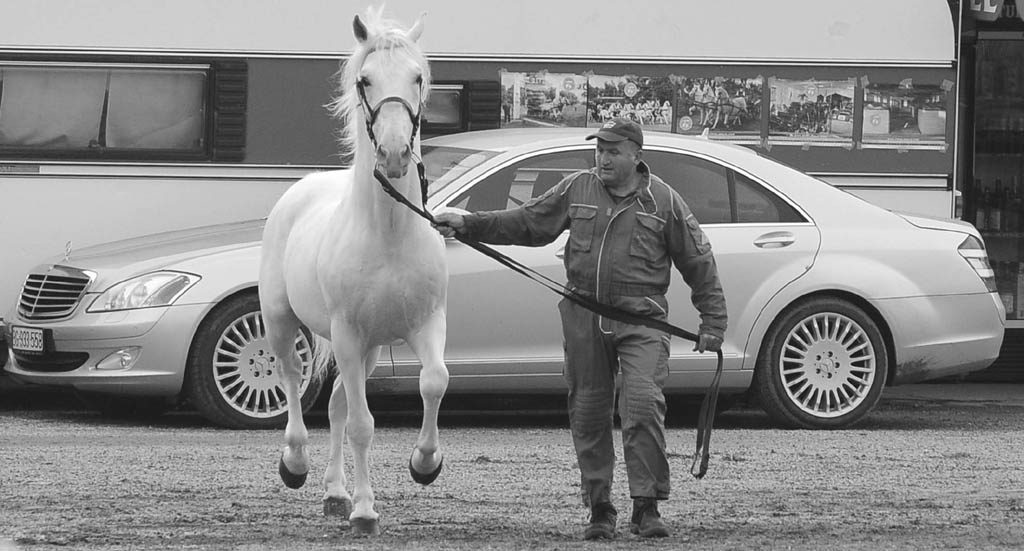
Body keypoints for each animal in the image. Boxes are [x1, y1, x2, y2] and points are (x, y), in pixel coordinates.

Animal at [258, 8, 448, 536]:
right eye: (365, 80)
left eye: (418, 77)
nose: (395, 154)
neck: (389, 237)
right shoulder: (346, 333)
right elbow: (363, 424)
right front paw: (365, 513)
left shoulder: (425, 324)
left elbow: (434, 381)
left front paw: (424, 464)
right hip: (283, 322)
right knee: (294, 379)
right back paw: (297, 465)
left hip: (367, 350)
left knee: (338, 403)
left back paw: (335, 494)